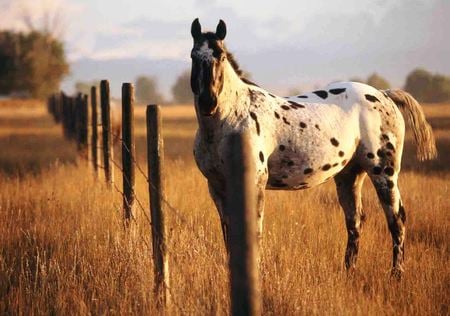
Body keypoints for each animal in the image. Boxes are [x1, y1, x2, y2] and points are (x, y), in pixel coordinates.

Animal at [190, 18, 436, 278]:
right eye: (194, 56)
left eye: (220, 56)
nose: (208, 102)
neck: (233, 118)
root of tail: (384, 94)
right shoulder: (217, 187)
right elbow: (228, 232)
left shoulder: (254, 183)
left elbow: (254, 230)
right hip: (349, 175)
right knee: (355, 221)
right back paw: (349, 271)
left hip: (384, 173)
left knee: (397, 219)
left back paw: (396, 274)